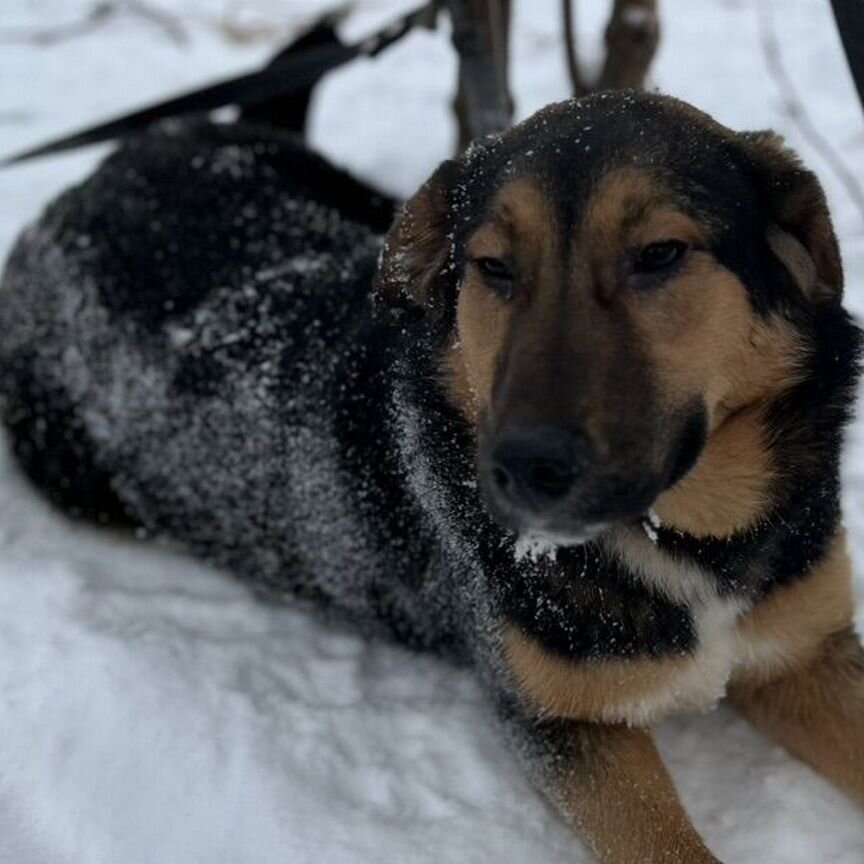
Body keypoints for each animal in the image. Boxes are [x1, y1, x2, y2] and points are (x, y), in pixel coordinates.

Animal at [1, 89, 864, 864]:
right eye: (492, 268)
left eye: (660, 254)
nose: (522, 469)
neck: (684, 539)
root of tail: (77, 195)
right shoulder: (559, 726)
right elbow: (671, 848)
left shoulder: (807, 651)